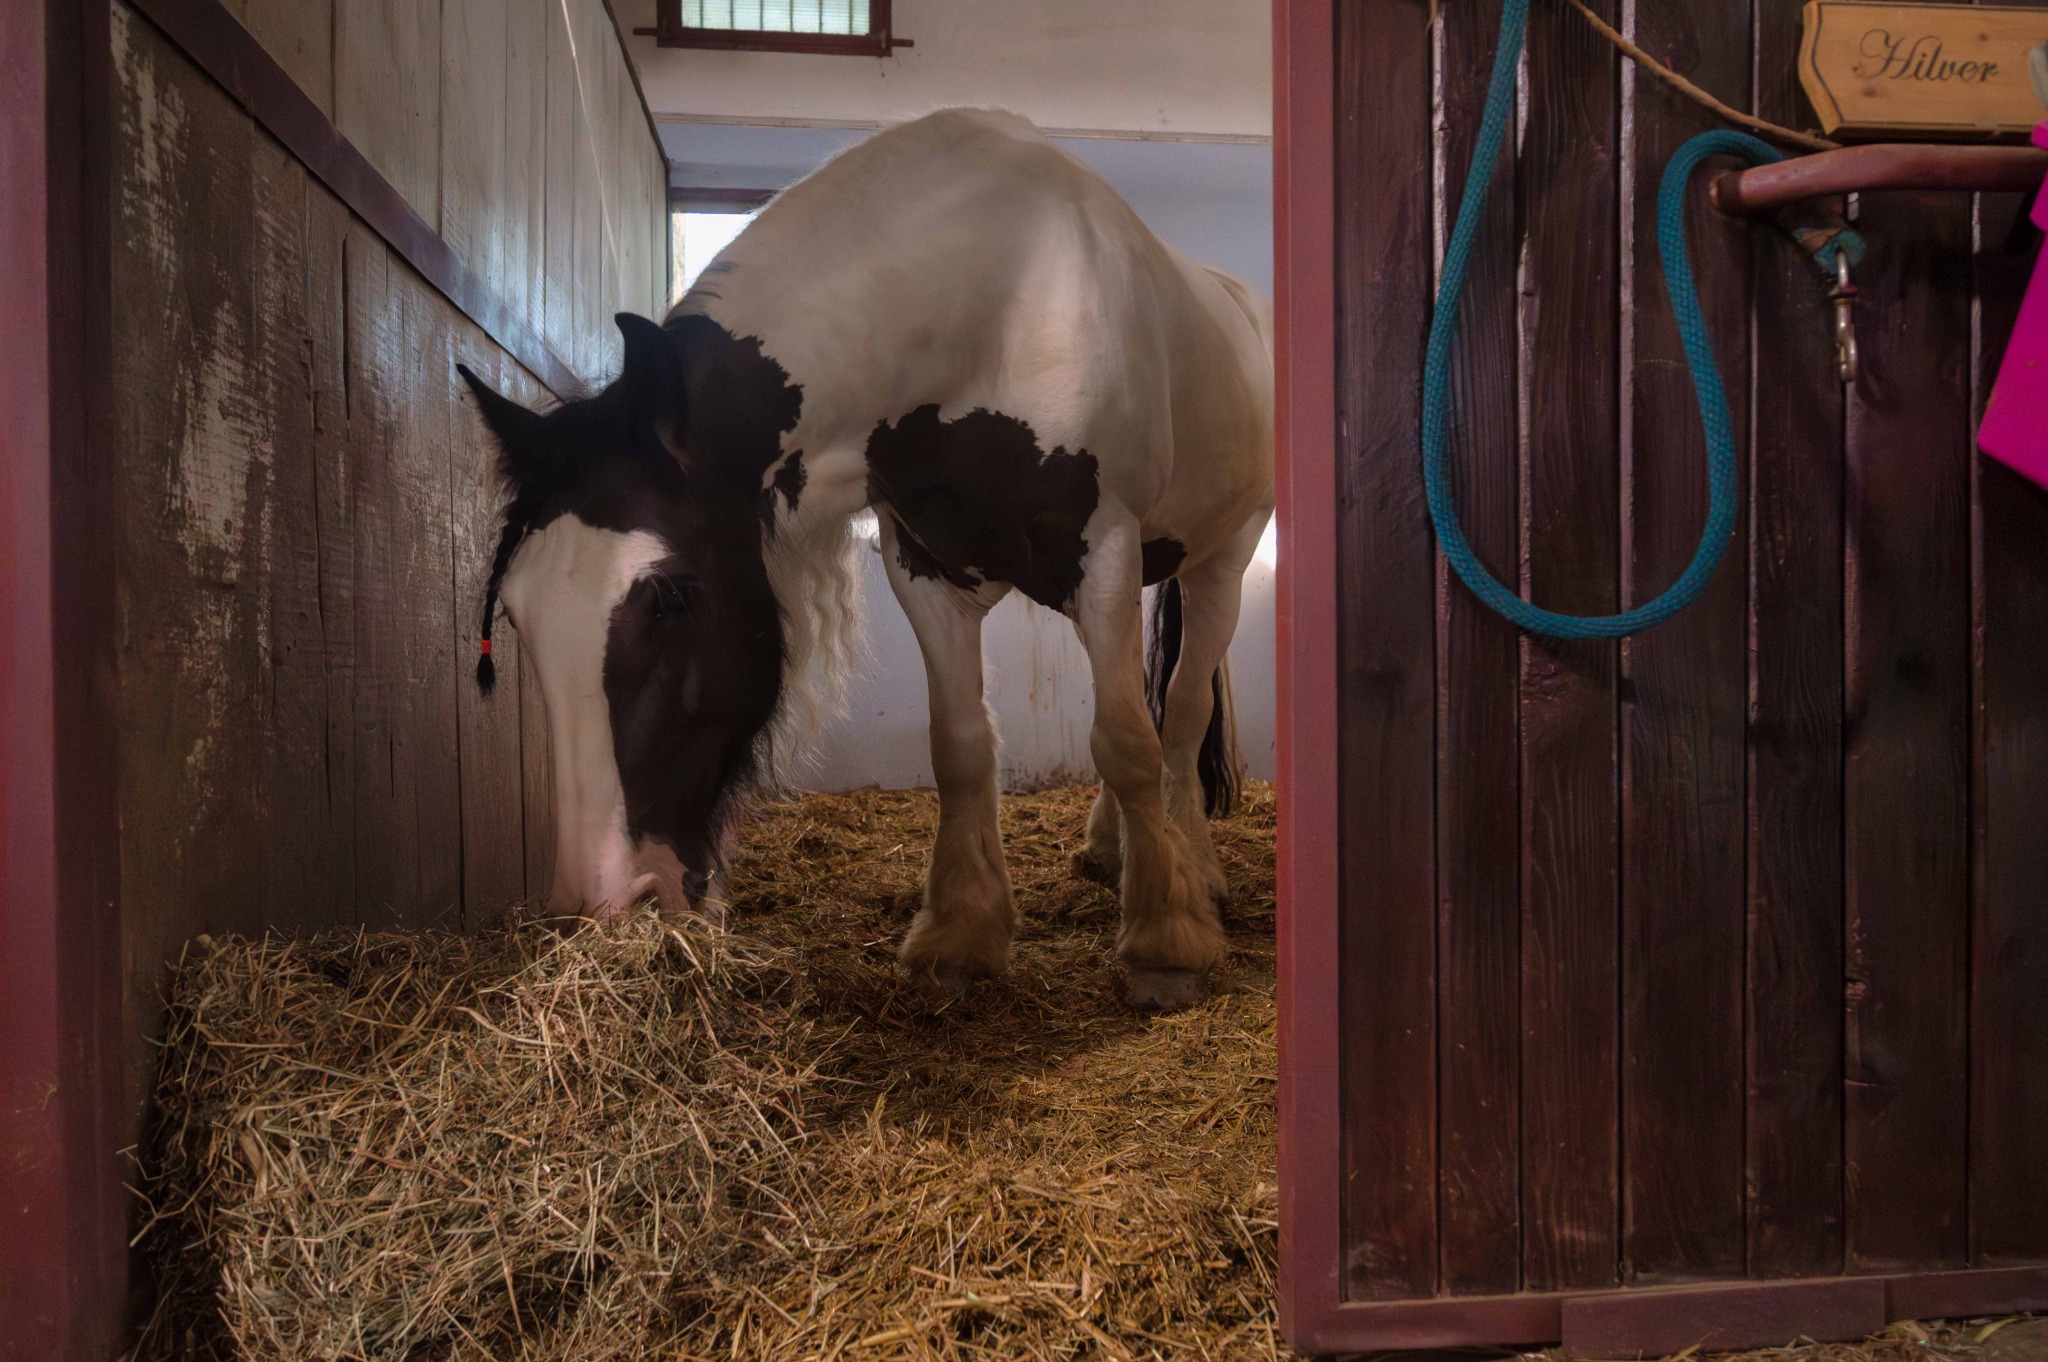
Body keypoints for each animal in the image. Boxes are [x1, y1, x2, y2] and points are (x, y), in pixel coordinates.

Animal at [458, 108, 1273, 1009]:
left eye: (672, 597)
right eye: (516, 613)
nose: (605, 904)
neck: (999, 299)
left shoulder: (1104, 556)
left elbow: (1128, 739)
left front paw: (1165, 940)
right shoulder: (929, 575)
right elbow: (961, 745)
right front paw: (960, 935)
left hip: (1221, 565)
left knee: (1180, 711)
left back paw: (1194, 871)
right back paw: (1112, 851)